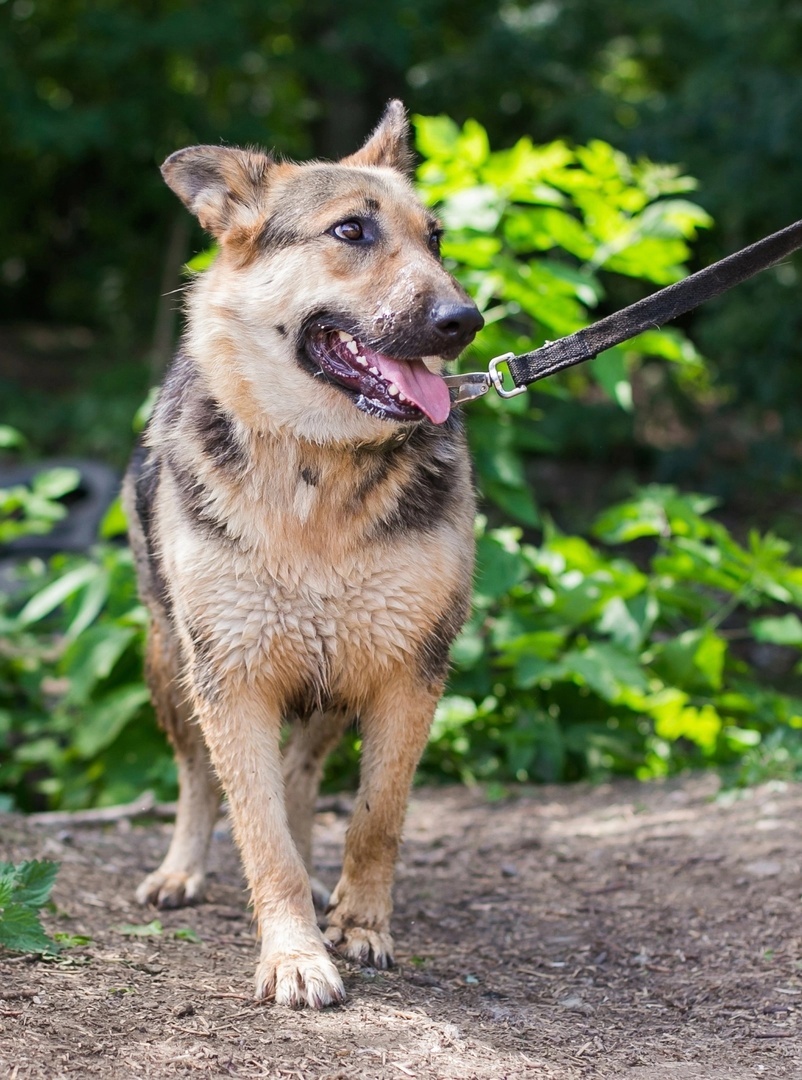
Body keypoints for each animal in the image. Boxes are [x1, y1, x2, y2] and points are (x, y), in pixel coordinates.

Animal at [120, 101, 483, 1010]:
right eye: (351, 230)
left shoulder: (407, 669)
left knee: (300, 778)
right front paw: (293, 955)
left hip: (334, 684)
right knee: (199, 779)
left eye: (435, 237)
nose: (466, 322)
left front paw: (359, 924)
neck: (317, 464)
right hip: (171, 664)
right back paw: (180, 871)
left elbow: (376, 817)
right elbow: (257, 832)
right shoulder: (231, 674)